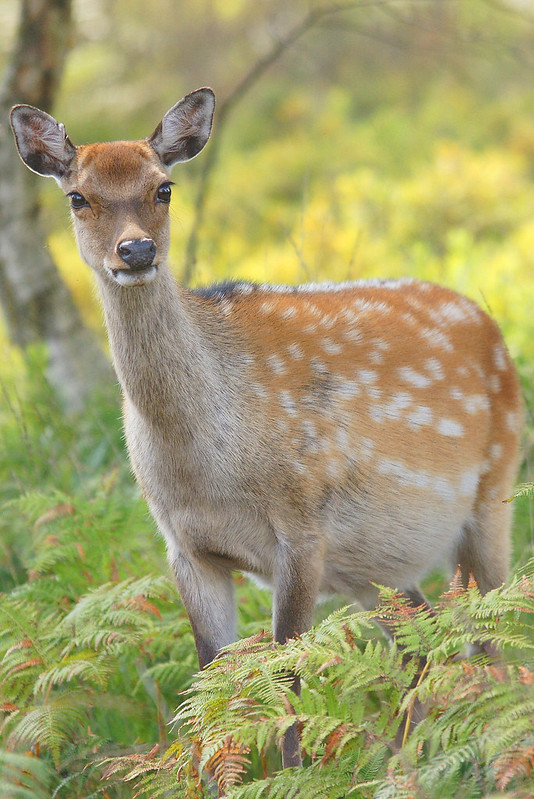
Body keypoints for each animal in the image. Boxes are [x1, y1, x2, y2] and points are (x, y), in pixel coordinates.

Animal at [10, 89, 524, 768]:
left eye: (164, 187)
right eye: (77, 196)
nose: (136, 251)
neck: (204, 467)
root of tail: (494, 331)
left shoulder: (302, 527)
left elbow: (285, 676)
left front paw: (292, 773)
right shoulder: (185, 548)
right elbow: (211, 681)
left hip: (495, 492)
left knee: (490, 638)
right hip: (375, 565)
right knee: (423, 640)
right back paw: (400, 759)